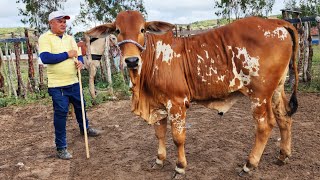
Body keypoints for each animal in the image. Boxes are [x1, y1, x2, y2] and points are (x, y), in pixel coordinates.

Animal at [86, 10, 298, 177]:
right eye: (117, 31)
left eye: (142, 30)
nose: (131, 60)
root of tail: (276, 22)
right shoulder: (158, 104)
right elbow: (159, 133)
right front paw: (159, 159)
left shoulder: (176, 103)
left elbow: (177, 137)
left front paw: (180, 167)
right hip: (276, 89)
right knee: (284, 117)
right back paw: (283, 156)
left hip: (259, 94)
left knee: (265, 126)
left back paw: (249, 165)